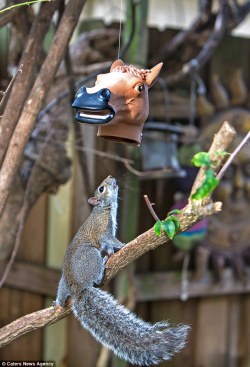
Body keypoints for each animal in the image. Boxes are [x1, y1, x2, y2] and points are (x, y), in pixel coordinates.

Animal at [55, 177, 189, 366]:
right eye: (101, 188)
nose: (112, 178)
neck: (104, 209)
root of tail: (77, 288)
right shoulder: (103, 230)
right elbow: (109, 240)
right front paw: (122, 245)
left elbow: (109, 246)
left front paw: (112, 252)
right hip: (91, 255)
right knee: (96, 277)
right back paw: (102, 266)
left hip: (64, 283)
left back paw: (58, 301)